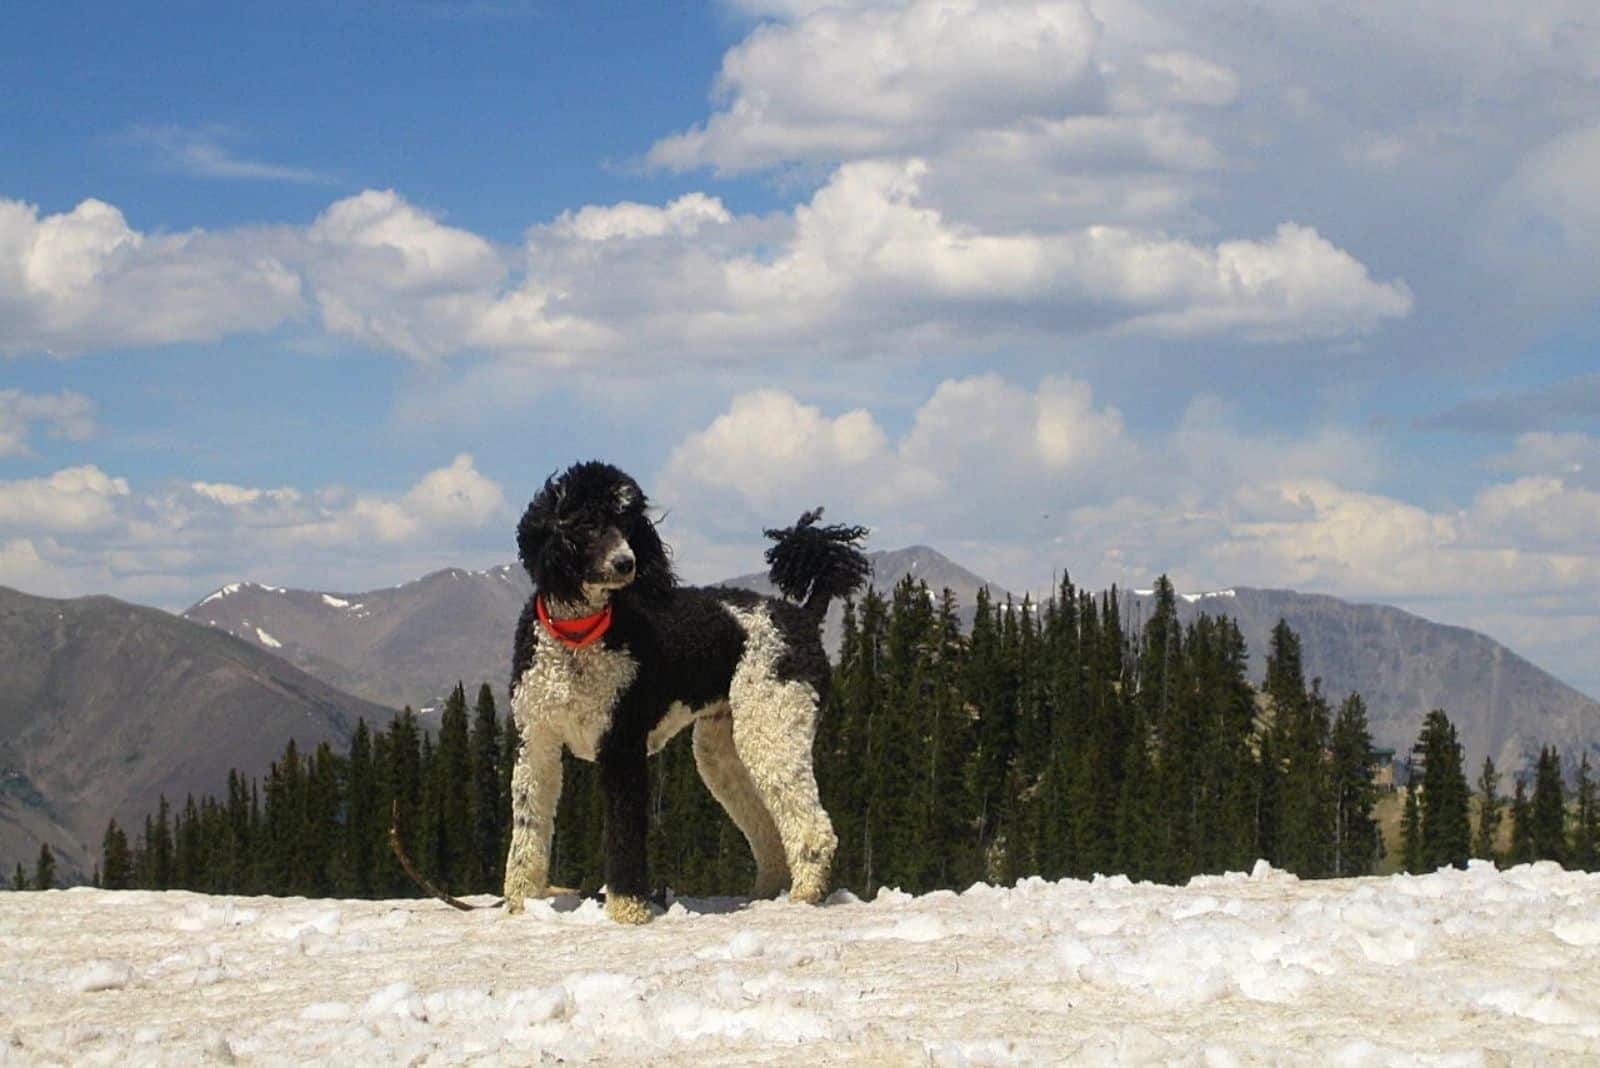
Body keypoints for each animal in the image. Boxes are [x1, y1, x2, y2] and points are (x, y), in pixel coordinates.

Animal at [505, 463, 870, 920]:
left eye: (629, 523)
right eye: (587, 523)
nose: (626, 563)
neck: (578, 637)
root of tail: (803, 615)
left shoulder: (622, 749)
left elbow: (624, 835)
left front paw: (628, 909)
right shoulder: (536, 743)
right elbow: (527, 828)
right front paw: (519, 902)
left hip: (773, 725)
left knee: (812, 825)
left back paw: (804, 894)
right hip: (723, 749)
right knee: (765, 826)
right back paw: (764, 895)